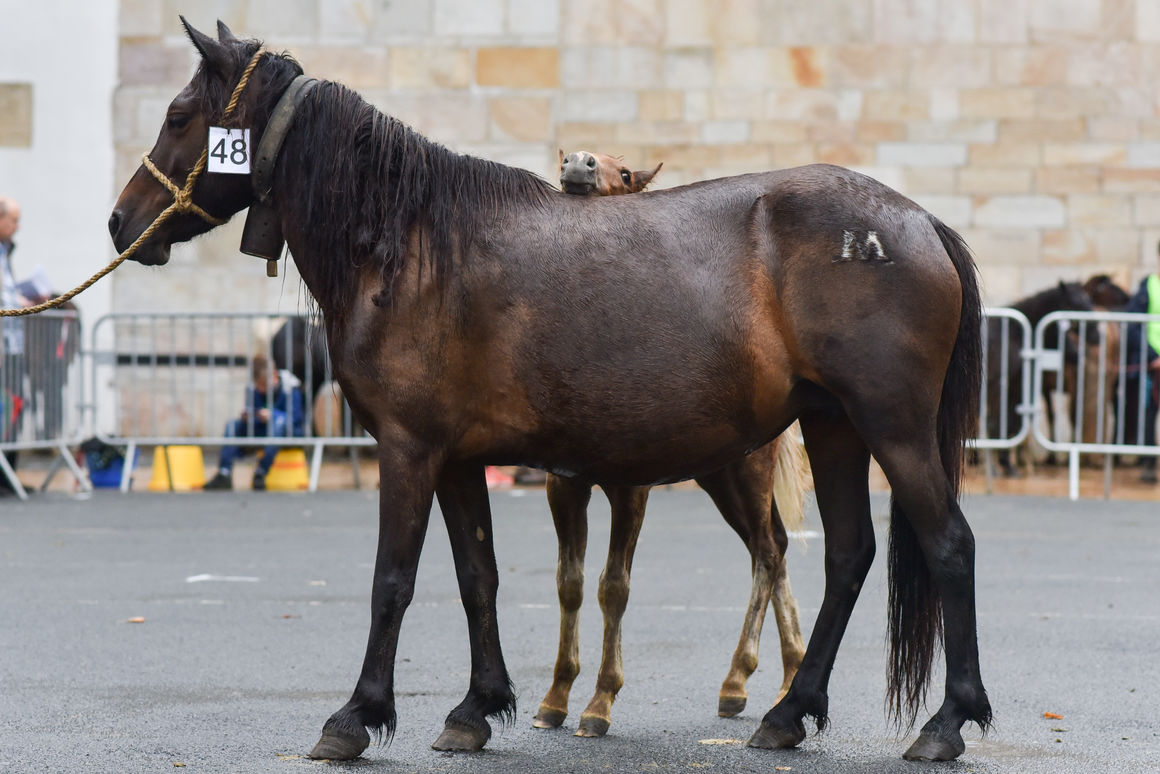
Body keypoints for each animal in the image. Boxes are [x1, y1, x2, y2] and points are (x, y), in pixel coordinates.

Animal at [538, 150, 812, 738]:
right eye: (571, 157)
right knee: (773, 547)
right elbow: (570, 582)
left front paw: (600, 702)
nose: (578, 165)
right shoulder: (562, 485)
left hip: (748, 474)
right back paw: (787, 676)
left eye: (624, 174)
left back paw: (738, 679)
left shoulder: (631, 488)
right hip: (719, 478)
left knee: (768, 550)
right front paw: (555, 697)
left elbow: (613, 586)